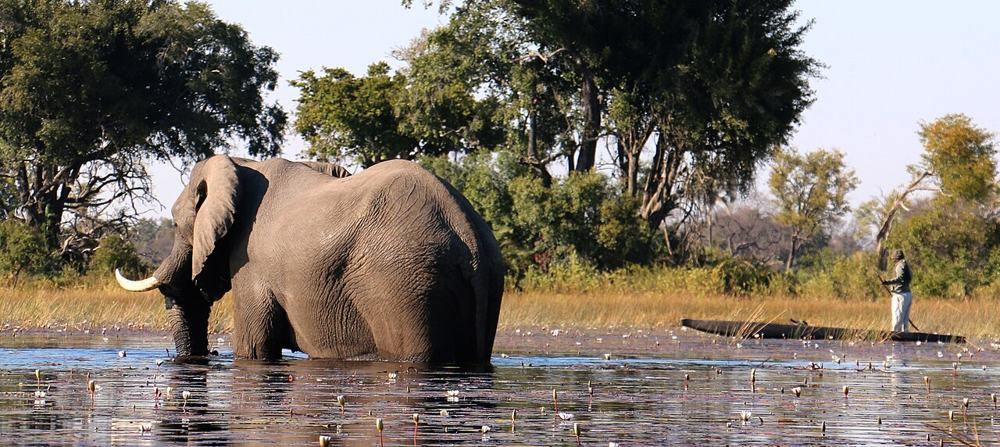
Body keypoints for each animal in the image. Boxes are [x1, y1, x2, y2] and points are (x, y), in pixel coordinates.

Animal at [116, 155, 504, 364]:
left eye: (176, 224)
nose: (202, 357)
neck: (242, 165)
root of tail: (469, 234)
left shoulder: (251, 264)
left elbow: (253, 349)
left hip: (405, 285)